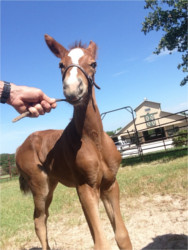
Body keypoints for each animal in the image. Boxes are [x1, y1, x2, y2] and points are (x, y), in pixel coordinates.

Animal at [16, 33, 132, 250]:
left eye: (94, 63)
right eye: (61, 65)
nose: (72, 90)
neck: (93, 140)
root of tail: (21, 146)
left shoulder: (110, 184)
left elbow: (122, 236)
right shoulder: (85, 188)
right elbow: (101, 243)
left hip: (52, 184)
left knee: (43, 217)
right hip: (40, 187)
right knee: (39, 220)